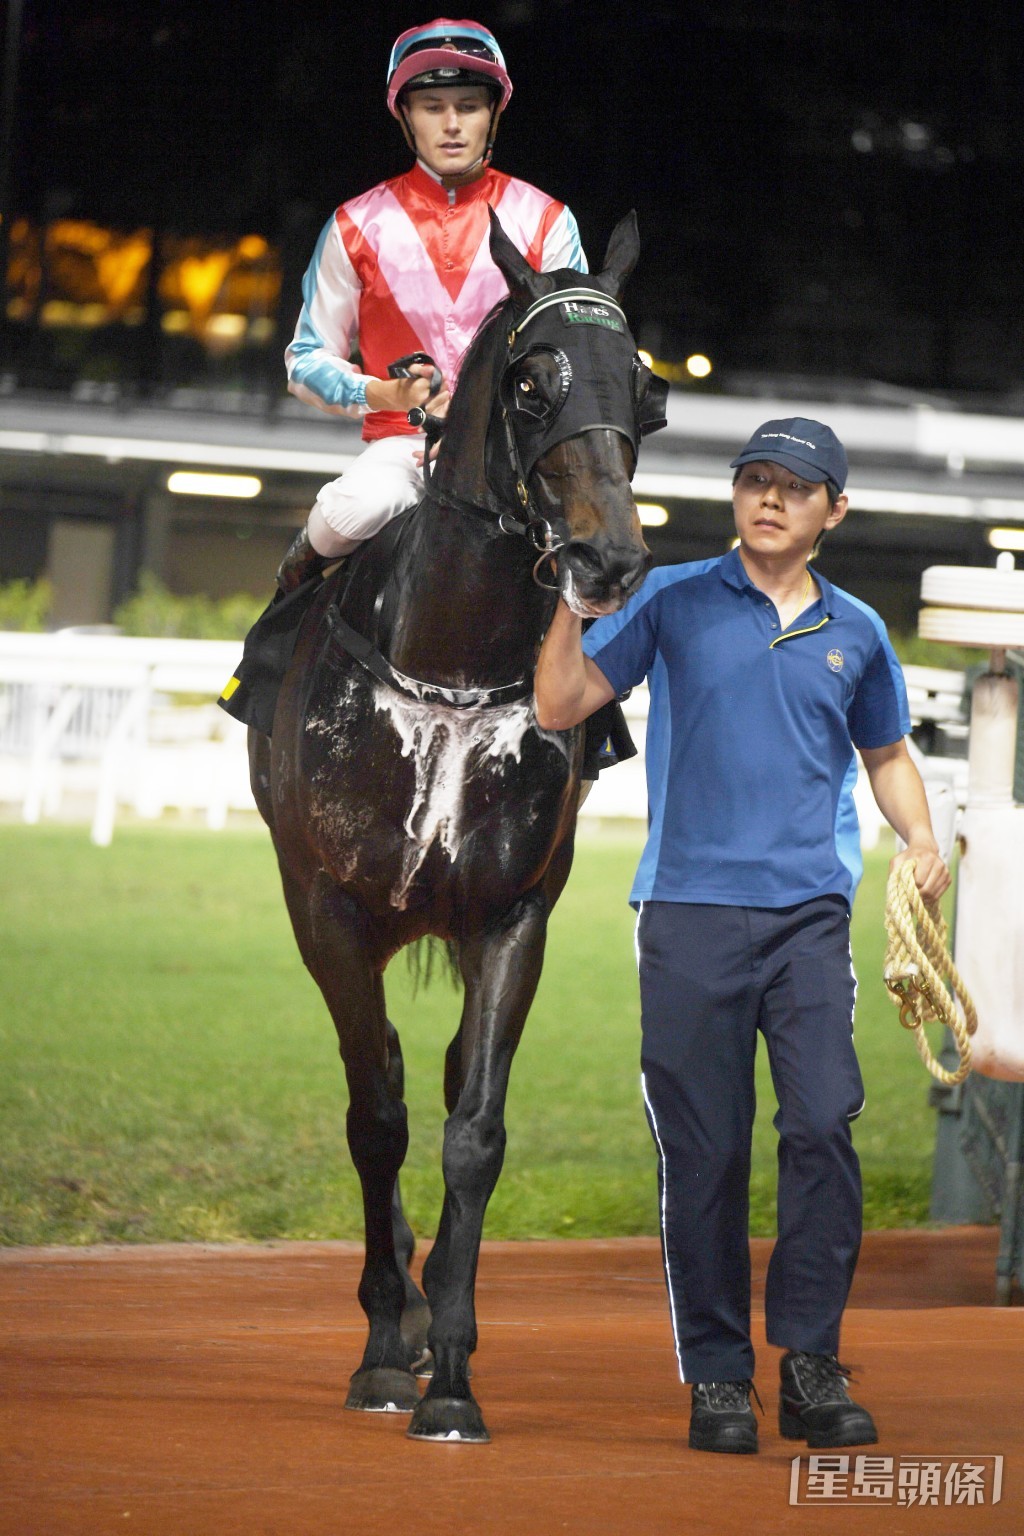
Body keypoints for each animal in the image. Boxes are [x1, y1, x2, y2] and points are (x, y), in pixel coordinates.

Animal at [248, 211, 666, 1442]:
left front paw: (451, 1372)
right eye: (532, 384)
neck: (449, 666)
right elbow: (374, 1120)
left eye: (646, 388)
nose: (610, 559)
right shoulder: (332, 909)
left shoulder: (511, 913)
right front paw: (385, 1351)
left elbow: (471, 1127)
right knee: (377, 1075)